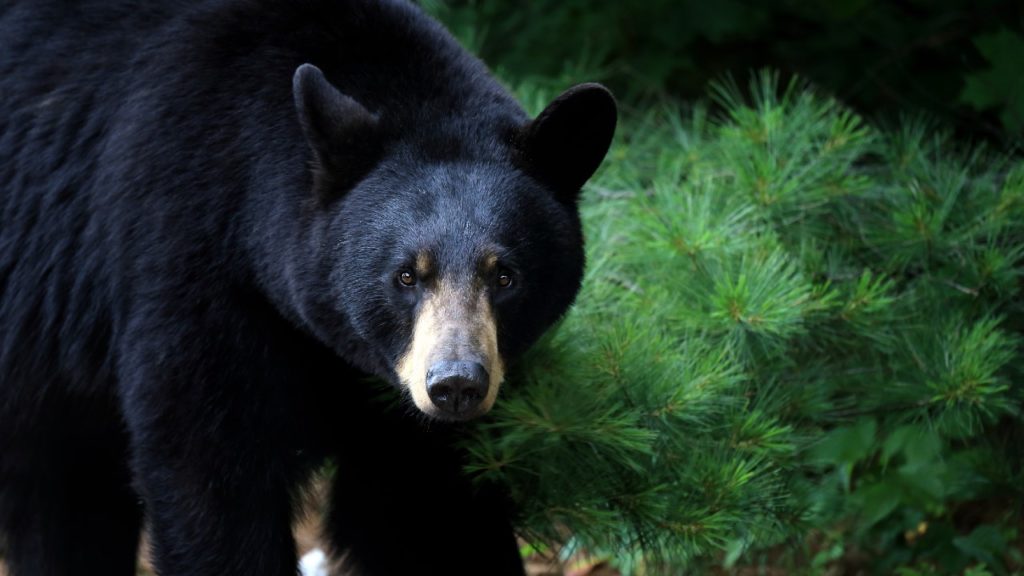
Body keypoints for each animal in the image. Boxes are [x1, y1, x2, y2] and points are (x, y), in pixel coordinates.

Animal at [0, 1, 610, 573]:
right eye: (406, 274)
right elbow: (210, 474)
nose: (455, 384)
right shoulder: (185, 257)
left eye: (504, 275)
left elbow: (426, 508)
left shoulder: (401, 404)